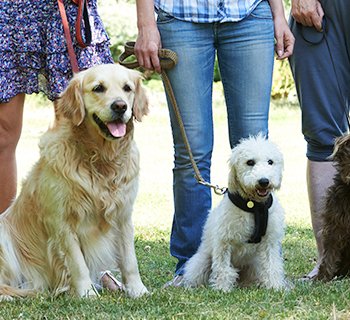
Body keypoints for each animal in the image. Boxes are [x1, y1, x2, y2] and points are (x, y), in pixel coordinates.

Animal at [0, 63, 149, 298]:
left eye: (127, 88)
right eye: (98, 88)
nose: (120, 106)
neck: (100, 159)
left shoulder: (124, 215)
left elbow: (129, 260)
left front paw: (137, 290)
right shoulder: (61, 220)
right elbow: (77, 263)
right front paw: (87, 293)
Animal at [185, 134, 286, 292]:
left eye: (270, 162)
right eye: (250, 162)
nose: (264, 181)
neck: (254, 206)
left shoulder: (269, 241)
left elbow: (272, 265)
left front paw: (275, 286)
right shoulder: (224, 242)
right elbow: (223, 268)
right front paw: (222, 288)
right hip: (201, 262)